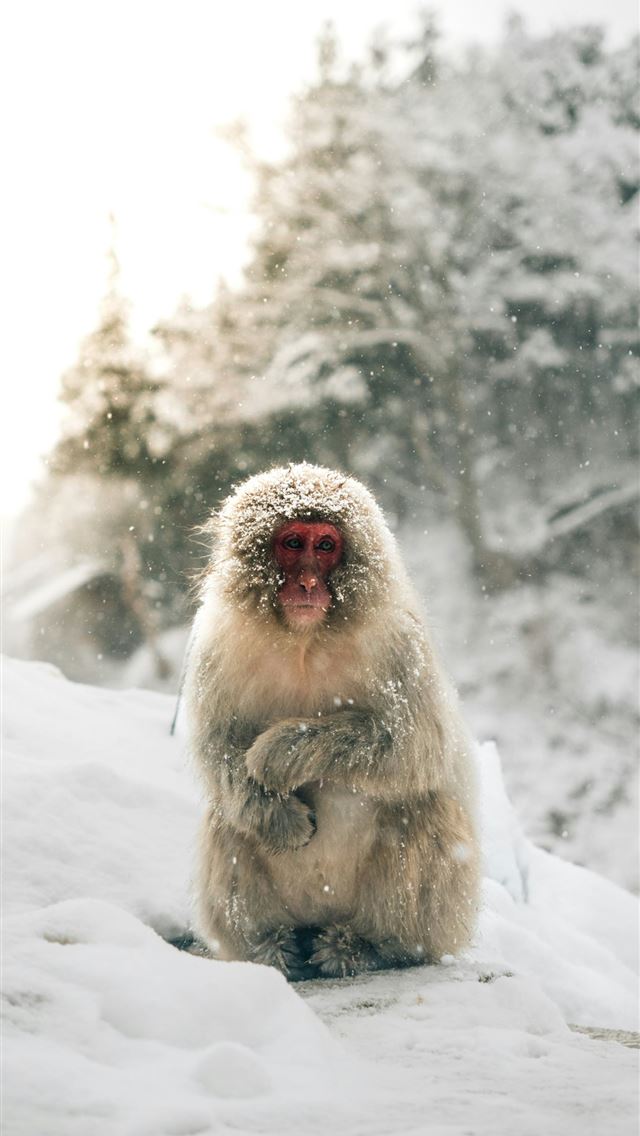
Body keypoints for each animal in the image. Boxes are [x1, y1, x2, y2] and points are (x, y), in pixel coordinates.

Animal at [184, 463, 480, 980]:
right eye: (292, 543)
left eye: (325, 546)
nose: (306, 583)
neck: (306, 640)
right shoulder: (214, 645)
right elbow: (217, 746)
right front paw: (282, 819)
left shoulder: (401, 644)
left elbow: (417, 748)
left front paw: (280, 751)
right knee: (229, 817)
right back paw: (271, 947)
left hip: (433, 918)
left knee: (418, 804)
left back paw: (370, 947)